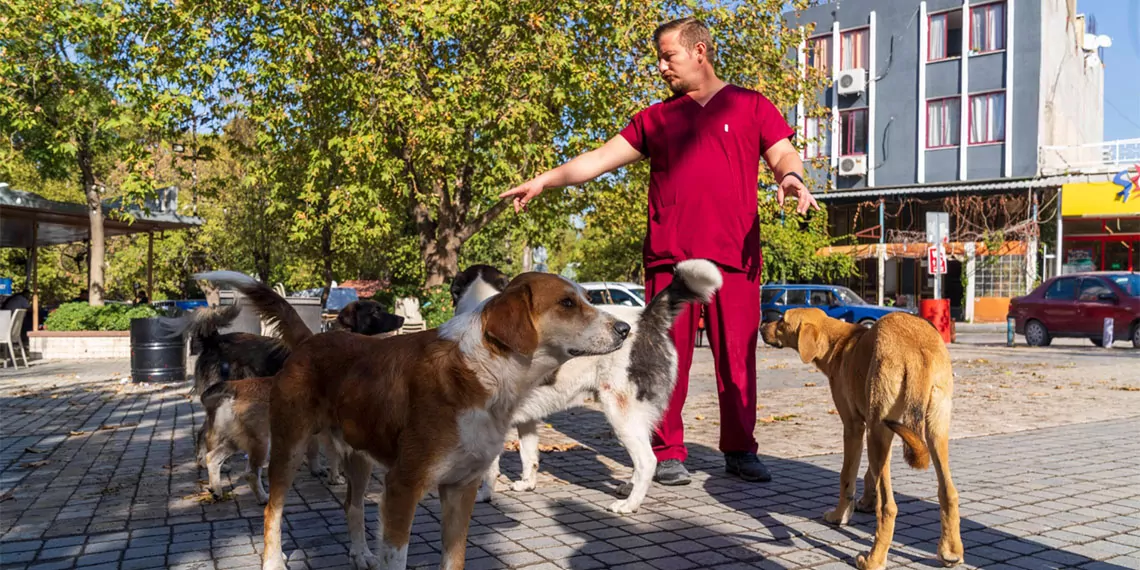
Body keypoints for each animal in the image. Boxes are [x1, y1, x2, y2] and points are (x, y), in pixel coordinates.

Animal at [205, 267, 633, 570]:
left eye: (585, 299)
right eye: (566, 304)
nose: (626, 328)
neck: (486, 371)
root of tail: (314, 339)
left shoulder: (461, 488)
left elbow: (454, 559)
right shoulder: (402, 487)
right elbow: (398, 556)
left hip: (360, 457)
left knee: (352, 505)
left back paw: (359, 553)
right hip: (288, 449)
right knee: (272, 511)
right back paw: (273, 561)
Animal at [453, 261, 720, 515]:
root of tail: (645, 318)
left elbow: (489, 470)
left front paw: (484, 495)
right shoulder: (526, 419)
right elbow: (529, 455)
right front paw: (527, 483)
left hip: (621, 413)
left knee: (647, 460)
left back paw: (629, 504)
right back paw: (628, 488)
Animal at [756, 310, 962, 570]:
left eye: (782, 320)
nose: (761, 327)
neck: (840, 343)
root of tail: (917, 348)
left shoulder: (854, 427)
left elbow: (847, 477)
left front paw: (840, 516)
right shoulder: (883, 434)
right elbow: (870, 474)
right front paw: (866, 500)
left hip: (878, 429)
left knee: (889, 507)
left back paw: (873, 559)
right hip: (933, 430)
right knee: (948, 492)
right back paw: (950, 552)